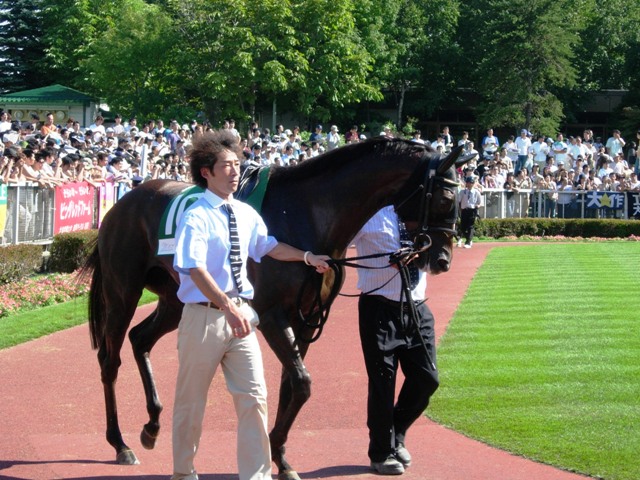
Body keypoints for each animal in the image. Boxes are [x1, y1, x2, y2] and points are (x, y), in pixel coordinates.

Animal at [84, 137, 470, 478]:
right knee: (109, 359)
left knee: (140, 339)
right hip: (122, 292)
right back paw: (119, 443)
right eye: (446, 196)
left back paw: (152, 424)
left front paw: (281, 457)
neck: (305, 215)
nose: (442, 260)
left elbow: (292, 384)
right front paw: (275, 451)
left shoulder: (307, 319)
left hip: (177, 299)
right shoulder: (271, 315)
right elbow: (301, 382)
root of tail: (123, 203)